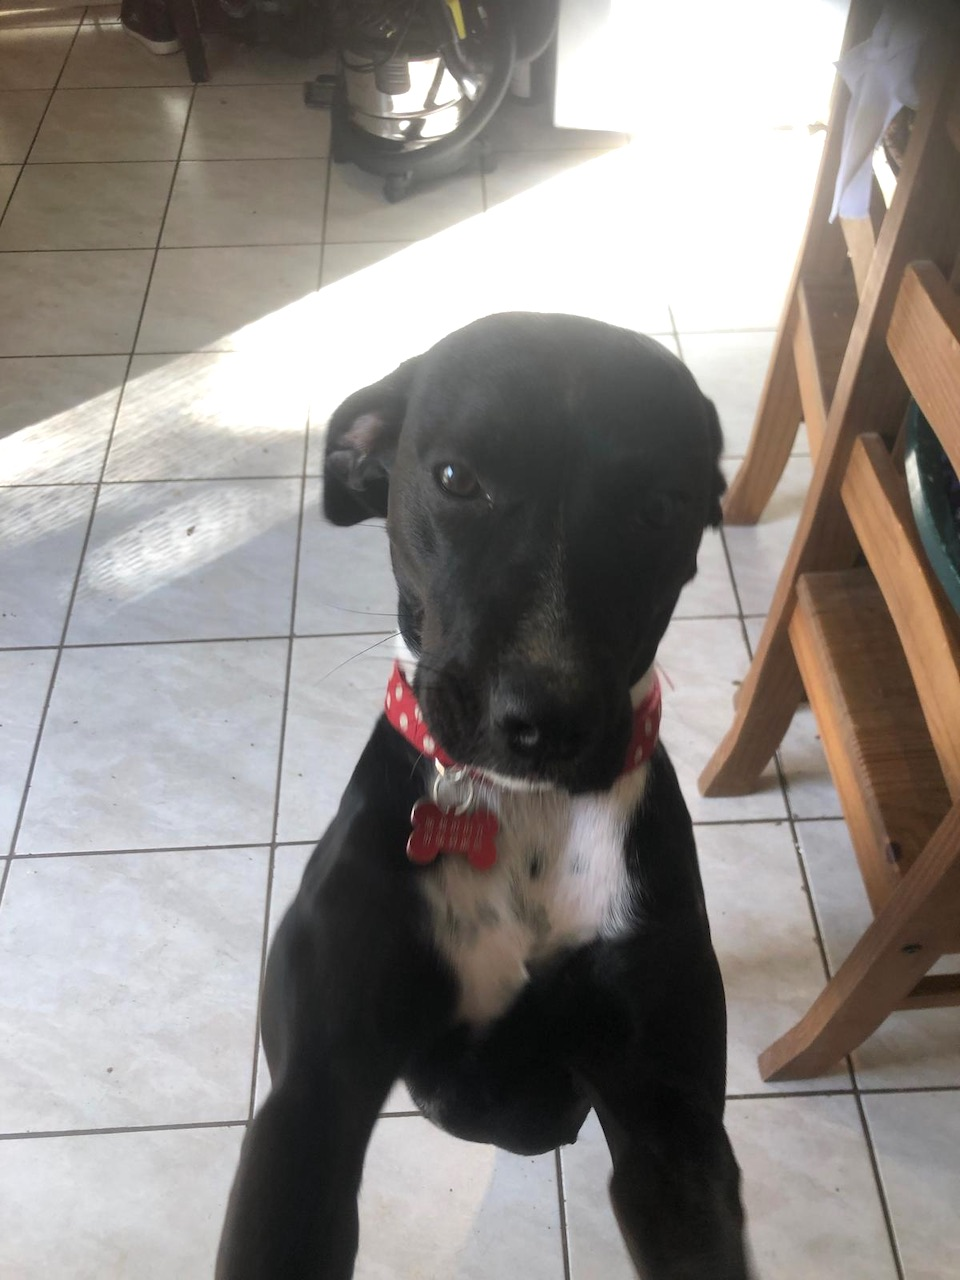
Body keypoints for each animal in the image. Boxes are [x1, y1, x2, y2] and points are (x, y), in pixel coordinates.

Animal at [216, 312, 750, 1279]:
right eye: (457, 479)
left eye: (661, 506)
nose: (543, 718)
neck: (520, 811)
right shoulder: (310, 1107)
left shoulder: (673, 1132)